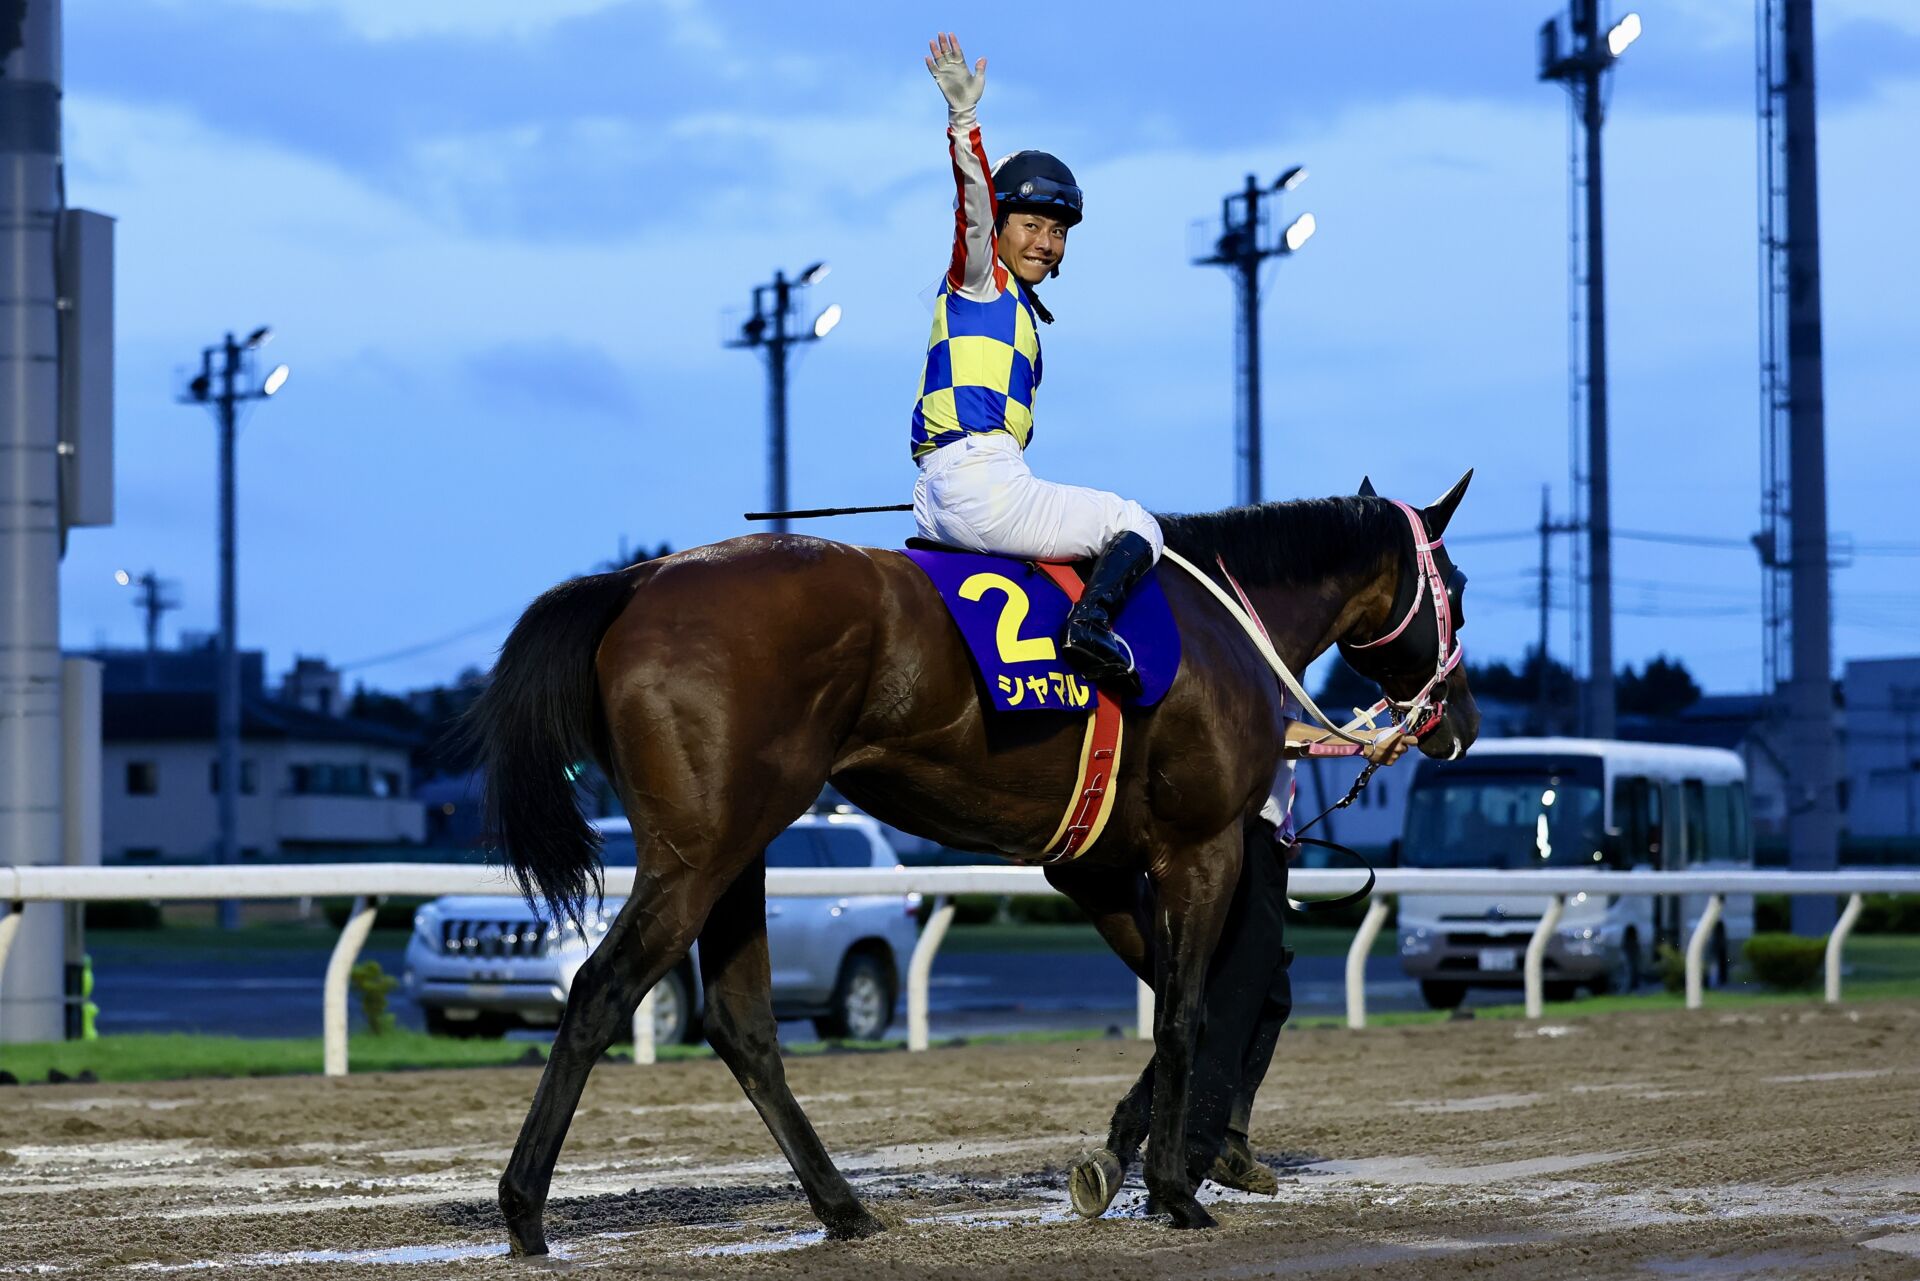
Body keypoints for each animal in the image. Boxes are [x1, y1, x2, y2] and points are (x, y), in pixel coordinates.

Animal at [468, 475, 1480, 1253]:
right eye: (1460, 584)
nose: (1459, 724)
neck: (1223, 625)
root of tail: (641, 579)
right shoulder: (1202, 846)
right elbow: (1190, 1009)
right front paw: (1173, 1186)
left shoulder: (1092, 866)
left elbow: (1209, 996)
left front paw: (1134, 1150)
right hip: (696, 853)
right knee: (600, 991)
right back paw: (524, 1212)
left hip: (738, 850)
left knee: (740, 1023)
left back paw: (843, 1207)